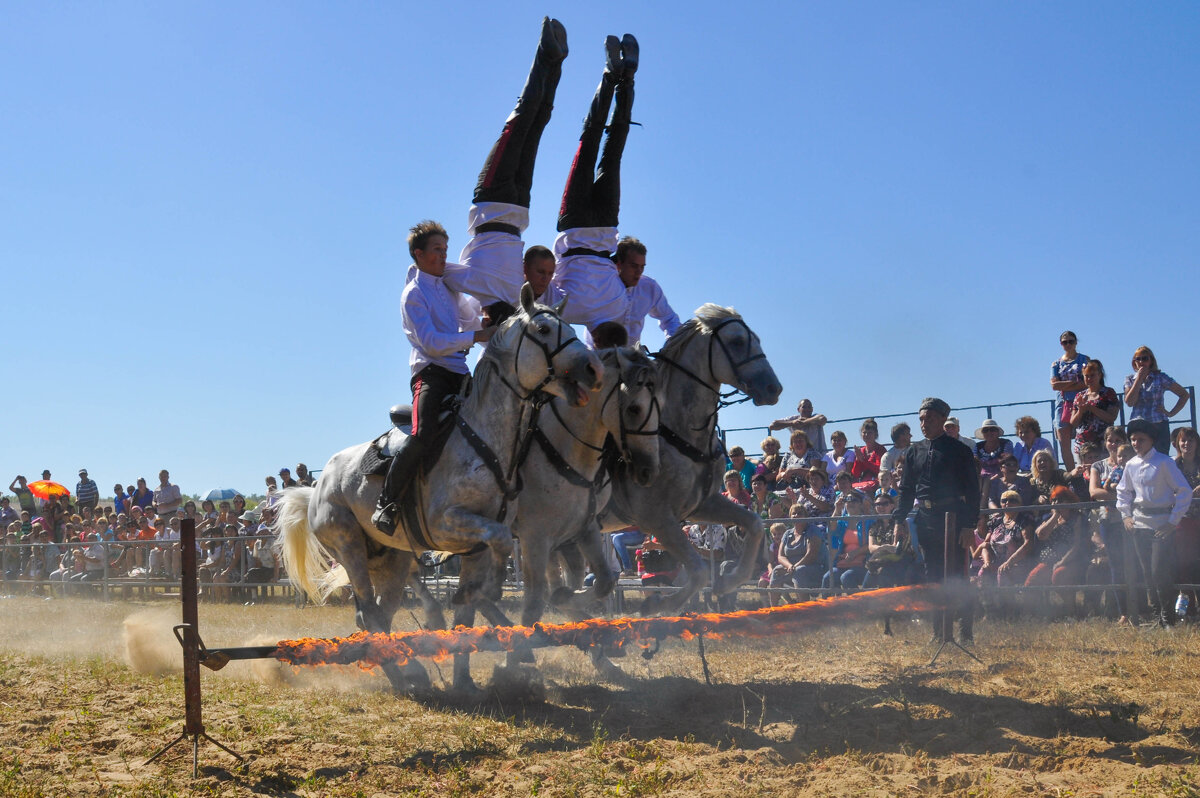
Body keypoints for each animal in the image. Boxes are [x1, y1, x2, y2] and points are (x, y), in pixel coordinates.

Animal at [276, 288, 604, 691]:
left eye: (571, 326)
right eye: (543, 329)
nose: (593, 369)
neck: (488, 442)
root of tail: (317, 487)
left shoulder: (477, 545)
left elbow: (465, 613)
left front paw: (464, 679)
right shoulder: (450, 523)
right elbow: (499, 544)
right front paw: (496, 588)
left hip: (392, 559)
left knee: (379, 614)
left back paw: (412, 670)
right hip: (349, 548)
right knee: (368, 614)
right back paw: (403, 674)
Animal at [600, 302, 787, 612]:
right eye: (737, 341)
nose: (773, 388)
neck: (677, 433)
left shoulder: (702, 504)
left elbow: (754, 524)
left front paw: (728, 581)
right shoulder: (657, 518)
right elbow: (698, 571)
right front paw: (657, 604)